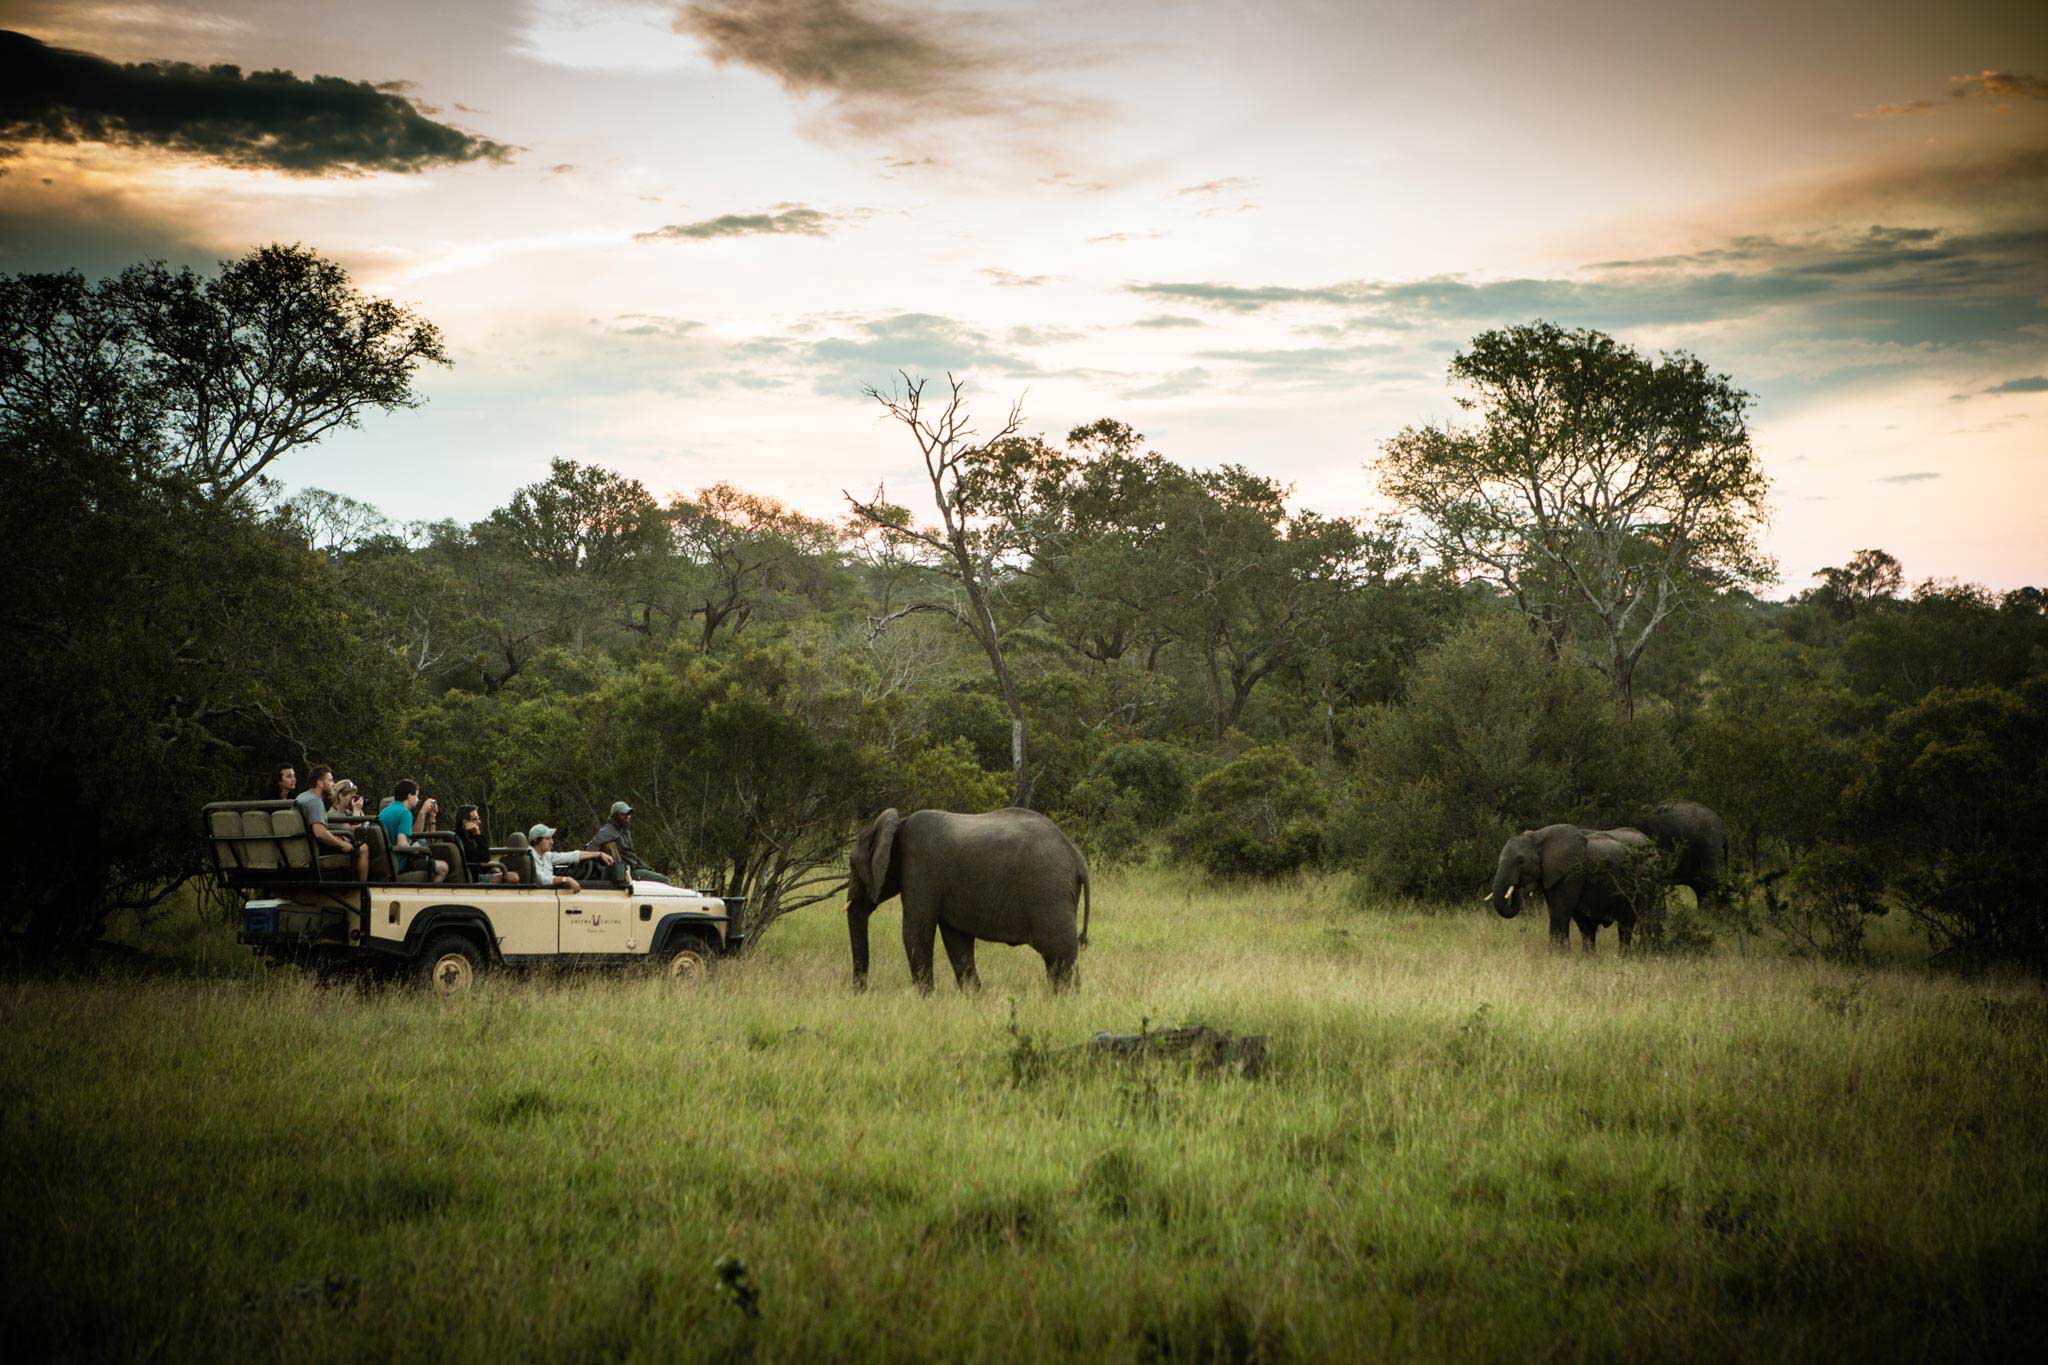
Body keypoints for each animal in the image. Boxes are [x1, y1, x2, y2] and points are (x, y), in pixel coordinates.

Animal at [839, 806, 1089, 998]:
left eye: (852, 865)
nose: (860, 993)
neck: (897, 826)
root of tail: (1078, 860)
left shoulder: (920, 867)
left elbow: (916, 929)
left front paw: (926, 999)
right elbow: (956, 940)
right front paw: (972, 997)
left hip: (1050, 892)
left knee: (1059, 953)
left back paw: (1066, 1001)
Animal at [1490, 826, 1662, 957]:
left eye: (1520, 861)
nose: (1517, 886)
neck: (1539, 836)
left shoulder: (1571, 873)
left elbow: (1560, 912)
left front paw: (1557, 956)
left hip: (1646, 876)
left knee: (1632, 921)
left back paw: (1634, 956)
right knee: (1588, 926)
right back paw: (1590, 957)